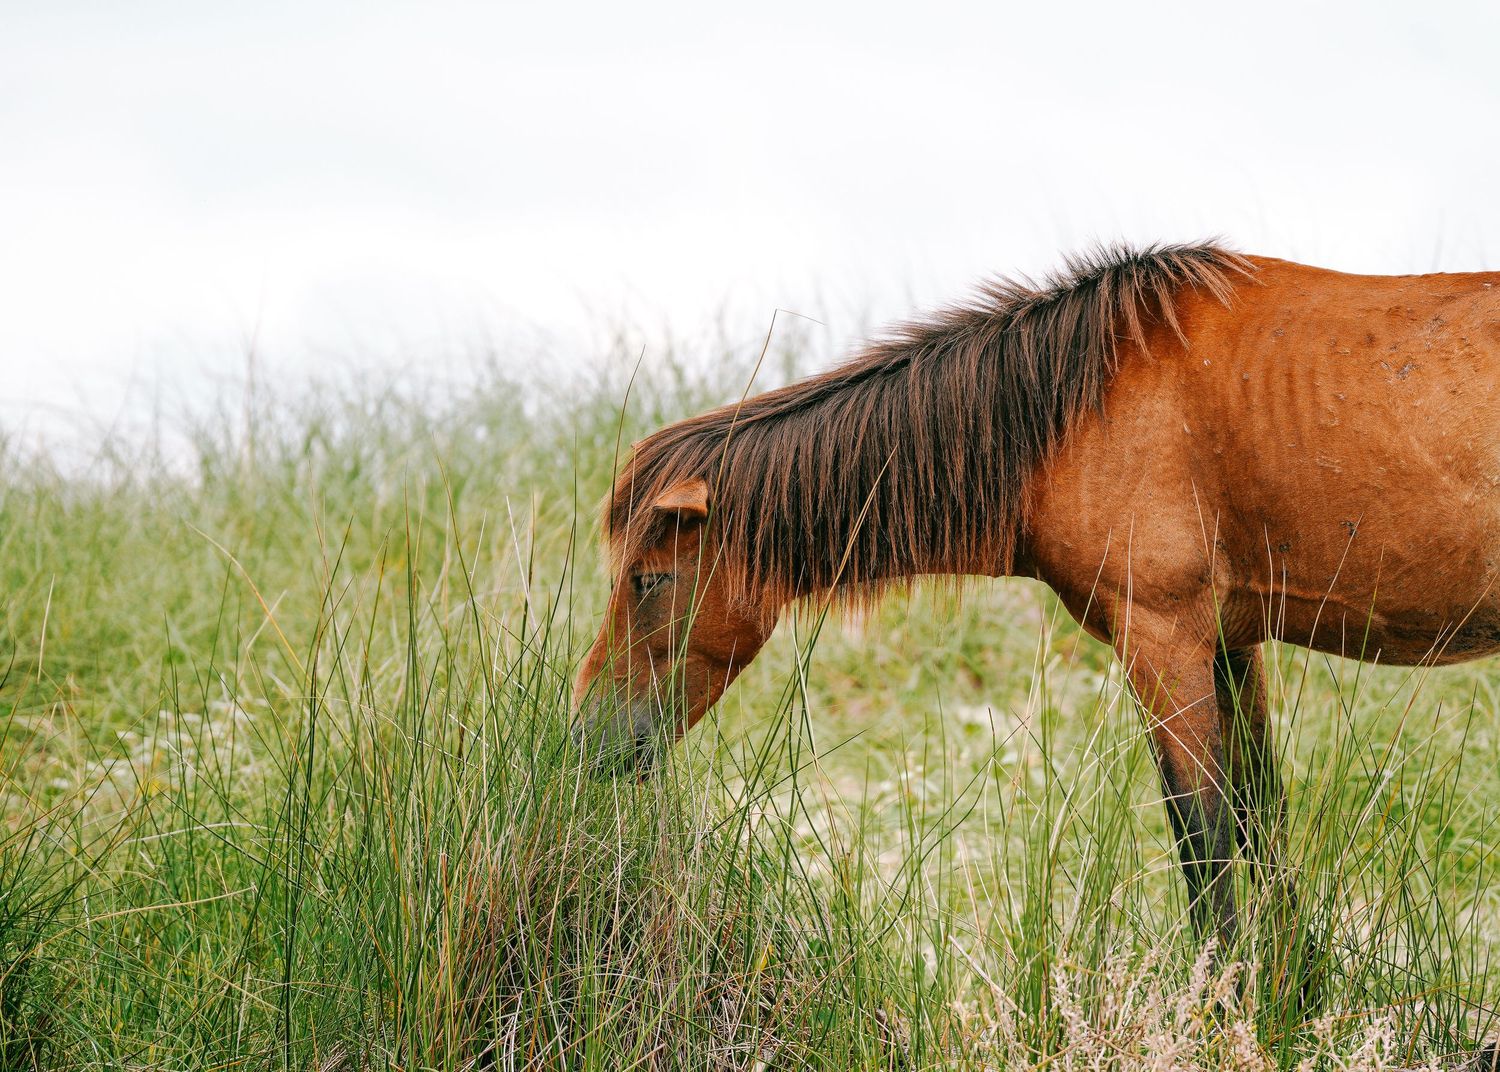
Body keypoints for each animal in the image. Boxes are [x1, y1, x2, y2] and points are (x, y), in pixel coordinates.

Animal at [573, 242, 1500, 949]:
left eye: (649, 580)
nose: (587, 739)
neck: (1073, 413)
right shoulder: (1231, 642)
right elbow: (1259, 822)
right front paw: (1289, 993)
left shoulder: (1162, 638)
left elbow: (1203, 841)